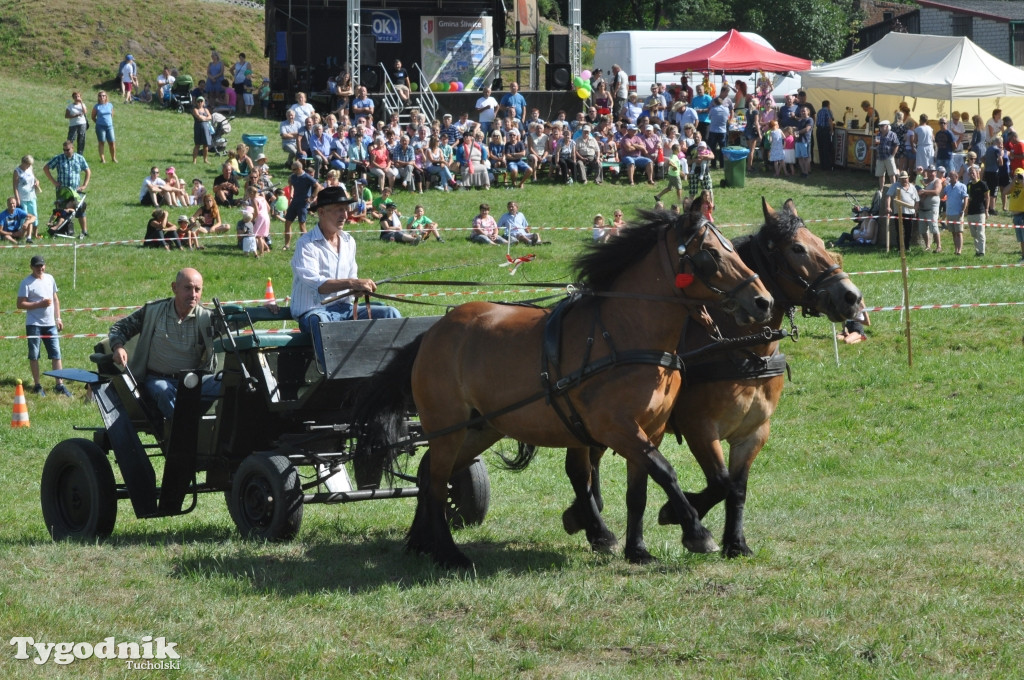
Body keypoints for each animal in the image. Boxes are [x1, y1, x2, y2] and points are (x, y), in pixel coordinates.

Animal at [356, 192, 770, 569]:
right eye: (712, 254)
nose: (762, 301)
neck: (625, 334)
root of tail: (434, 332)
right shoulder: (617, 428)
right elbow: (665, 472)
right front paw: (696, 532)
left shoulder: (649, 430)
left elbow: (638, 492)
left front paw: (637, 550)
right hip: (447, 426)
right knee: (438, 480)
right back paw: (448, 552)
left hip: (481, 426)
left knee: (428, 474)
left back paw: (420, 541)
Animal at [561, 196, 864, 561]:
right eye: (797, 248)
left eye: (821, 242)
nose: (852, 297)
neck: (742, 350)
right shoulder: (700, 429)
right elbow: (721, 482)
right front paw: (677, 515)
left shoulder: (753, 432)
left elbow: (738, 488)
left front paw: (736, 542)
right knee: (580, 468)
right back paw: (594, 526)